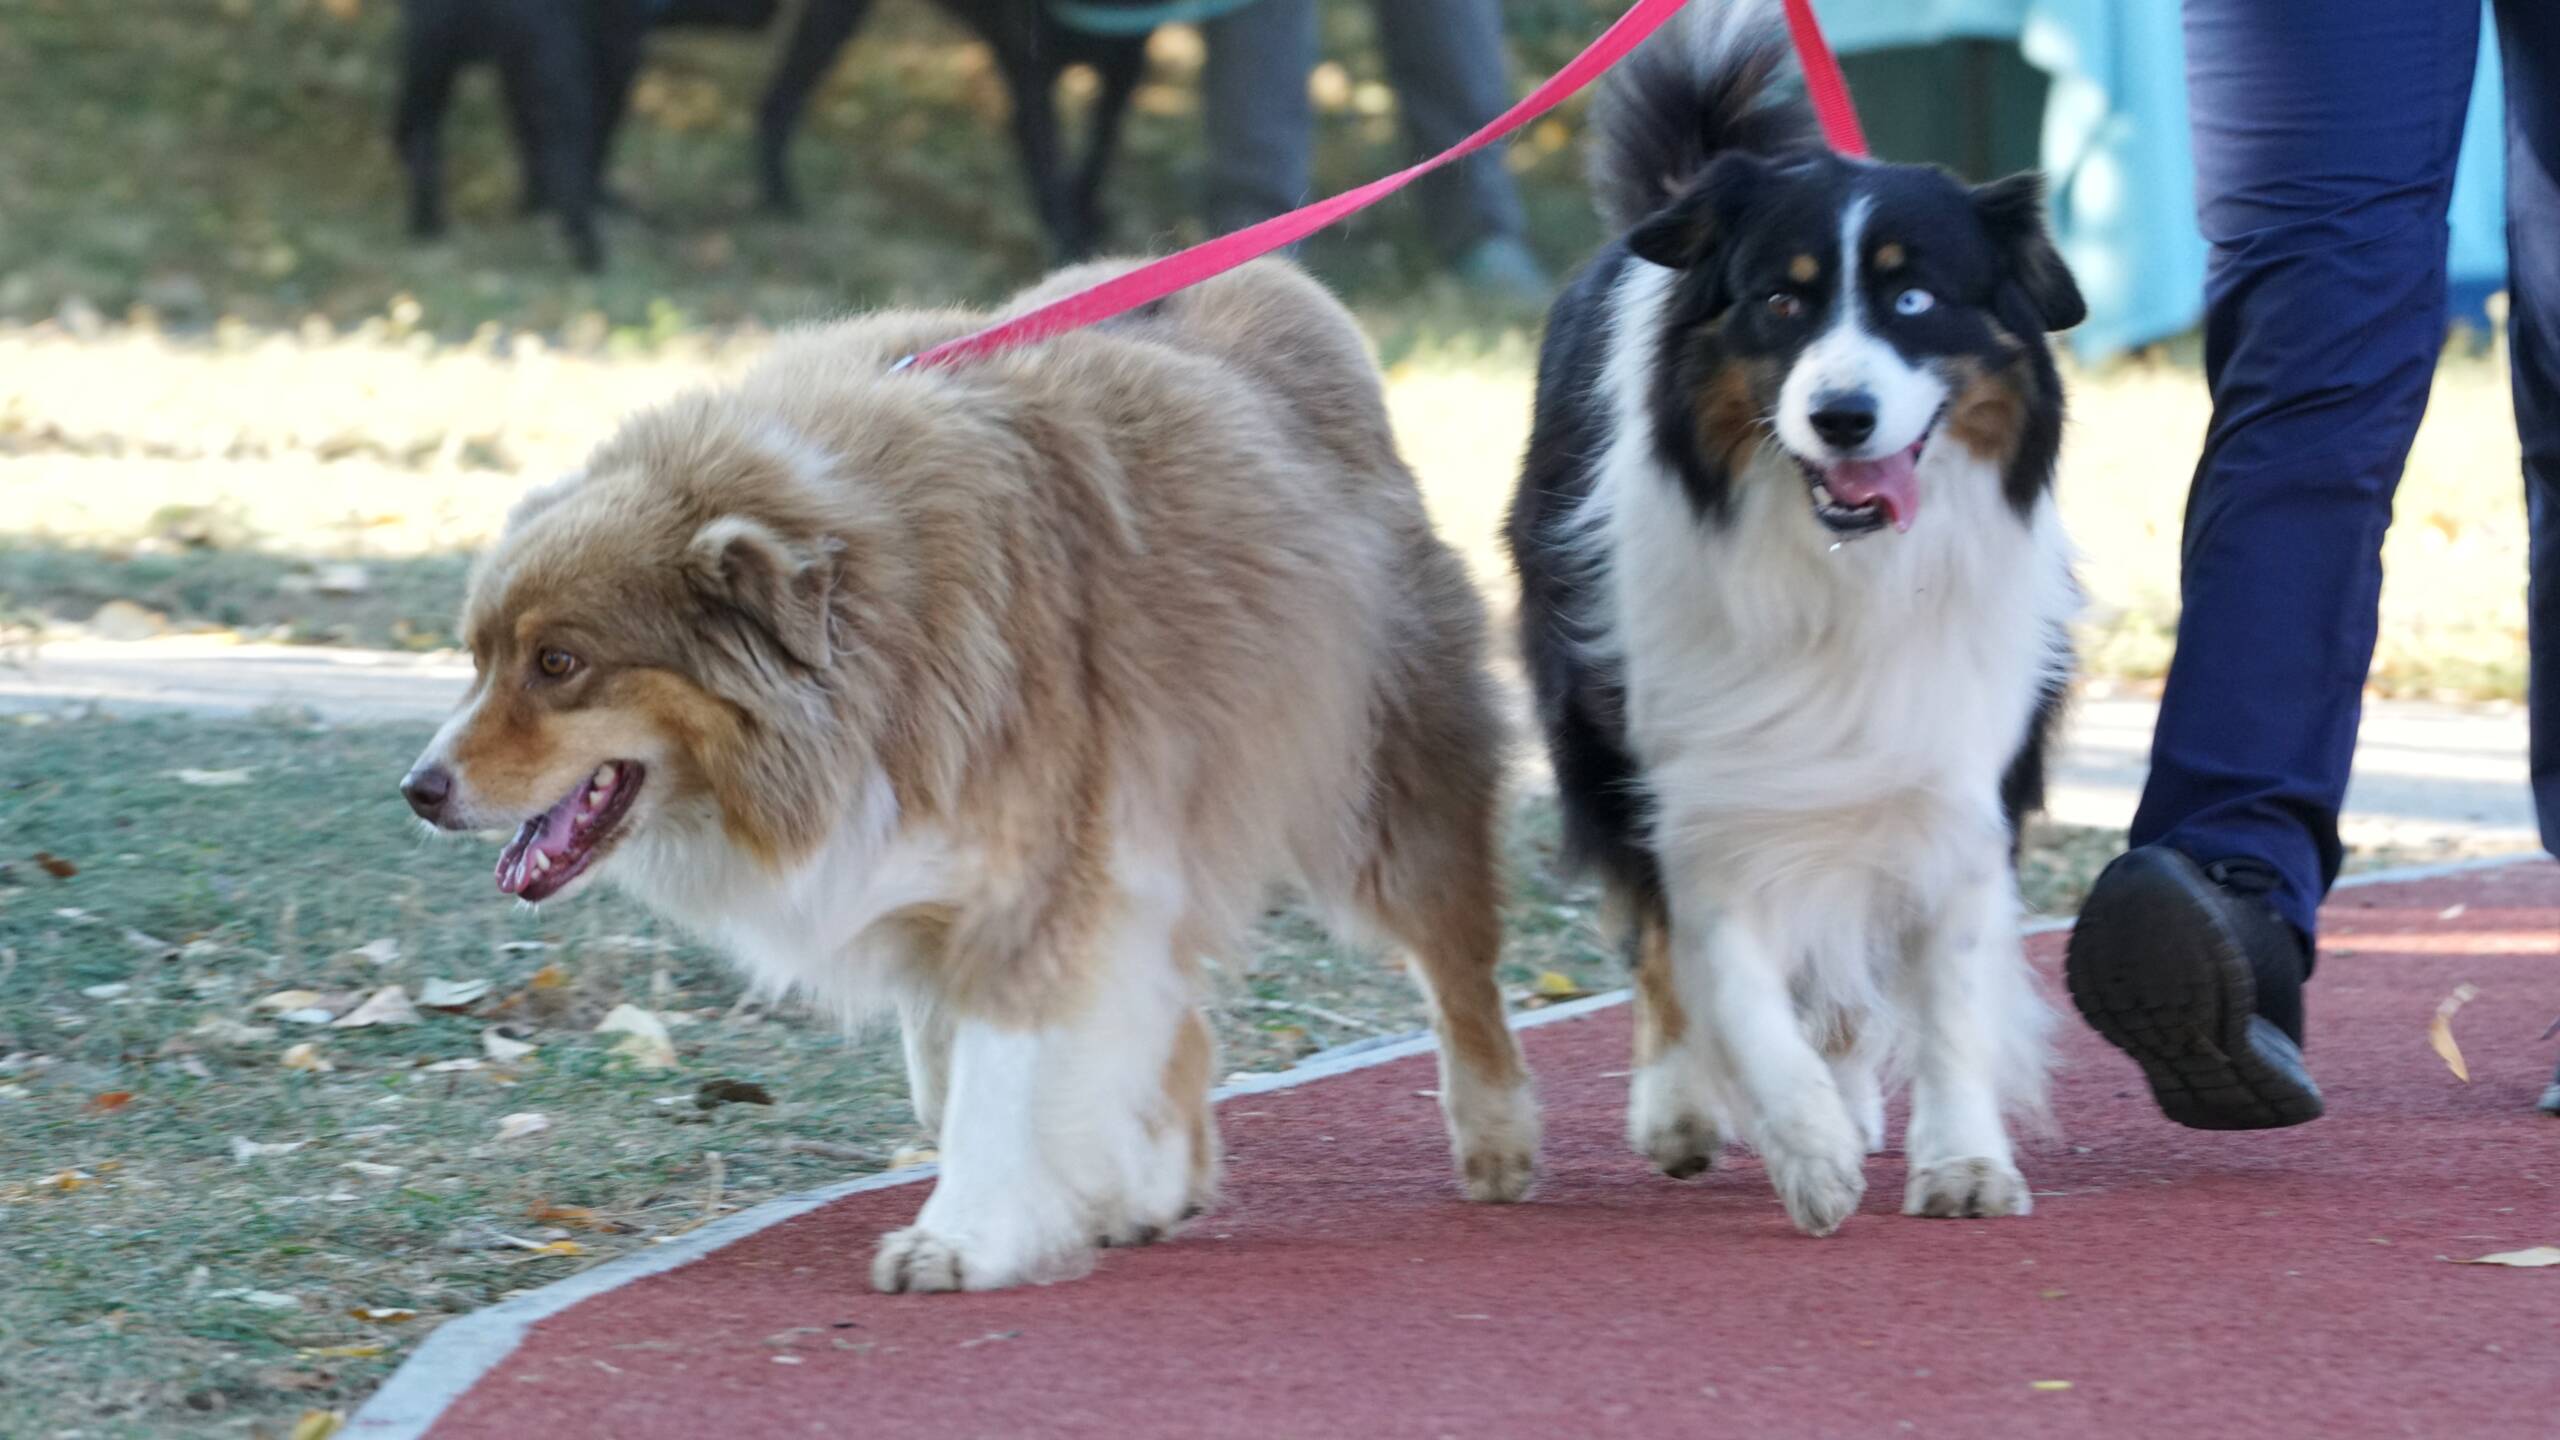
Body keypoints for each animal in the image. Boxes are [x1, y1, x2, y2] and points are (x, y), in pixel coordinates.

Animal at [393, 0, 780, 272]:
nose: (771, 10)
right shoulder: (611, 59)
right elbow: (595, 140)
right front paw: (598, 200)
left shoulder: (515, 69)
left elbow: (528, 138)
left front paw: (532, 205)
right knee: (566, 152)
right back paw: (588, 251)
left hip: (429, 51)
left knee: (417, 131)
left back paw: (426, 224)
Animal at [399, 258, 1539, 1292]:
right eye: (478, 656)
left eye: (559, 663)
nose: (420, 789)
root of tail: (1290, 289)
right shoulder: (925, 876)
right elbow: (953, 1075)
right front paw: (1071, 1187)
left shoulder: (1034, 872)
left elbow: (1000, 1076)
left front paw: (964, 1235)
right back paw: (1157, 1177)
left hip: (1378, 777)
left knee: (1456, 959)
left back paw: (1496, 1137)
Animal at [755, 0, 1154, 260]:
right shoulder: (1031, 83)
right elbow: (1052, 183)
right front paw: (1072, 253)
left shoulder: (1124, 70)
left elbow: (1098, 152)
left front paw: (1088, 212)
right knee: (778, 99)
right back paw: (779, 195)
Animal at [1505, 2, 2085, 1235]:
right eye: (1781, 300)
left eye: (1914, 300)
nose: (1842, 415)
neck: (1843, 567)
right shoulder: (1699, 782)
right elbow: (1724, 974)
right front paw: (1804, 1143)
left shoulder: (1952, 773)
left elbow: (1947, 993)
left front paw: (1962, 1160)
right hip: (1600, 735)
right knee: (1661, 947)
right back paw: (1683, 1107)